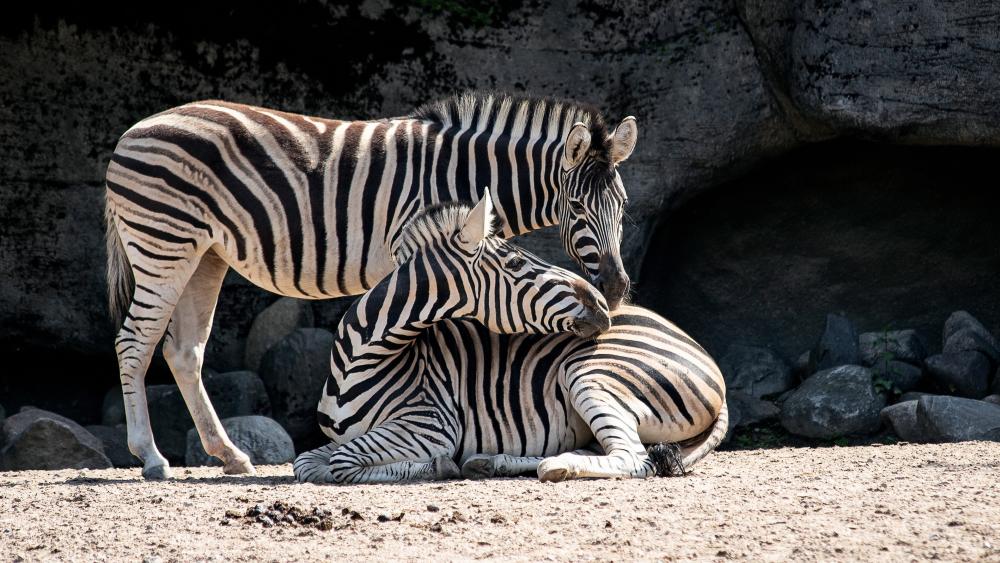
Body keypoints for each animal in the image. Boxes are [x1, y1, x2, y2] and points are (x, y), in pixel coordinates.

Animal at [104, 91, 638, 479]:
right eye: (577, 208)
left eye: (624, 205)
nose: (614, 290)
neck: (466, 173)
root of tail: (132, 132)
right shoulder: (414, 249)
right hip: (163, 242)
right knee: (134, 342)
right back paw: (151, 457)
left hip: (205, 254)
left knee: (183, 351)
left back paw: (230, 456)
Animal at [293, 194, 727, 484]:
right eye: (518, 262)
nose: (605, 304)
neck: (360, 359)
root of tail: (706, 357)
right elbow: (307, 464)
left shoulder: (430, 425)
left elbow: (341, 464)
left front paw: (437, 465)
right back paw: (492, 461)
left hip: (591, 374)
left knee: (634, 458)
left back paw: (553, 466)